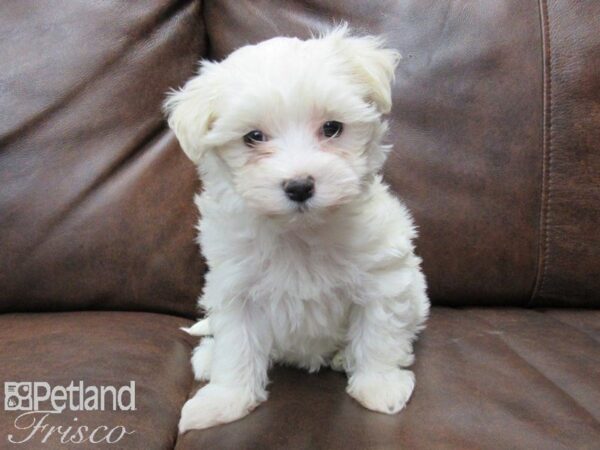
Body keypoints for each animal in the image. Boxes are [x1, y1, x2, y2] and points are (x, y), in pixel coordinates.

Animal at [162, 25, 428, 432]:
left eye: (332, 128)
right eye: (253, 136)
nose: (300, 186)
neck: (300, 231)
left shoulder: (383, 278)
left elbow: (379, 334)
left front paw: (379, 386)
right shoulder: (236, 290)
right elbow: (236, 346)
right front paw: (225, 400)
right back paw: (207, 358)